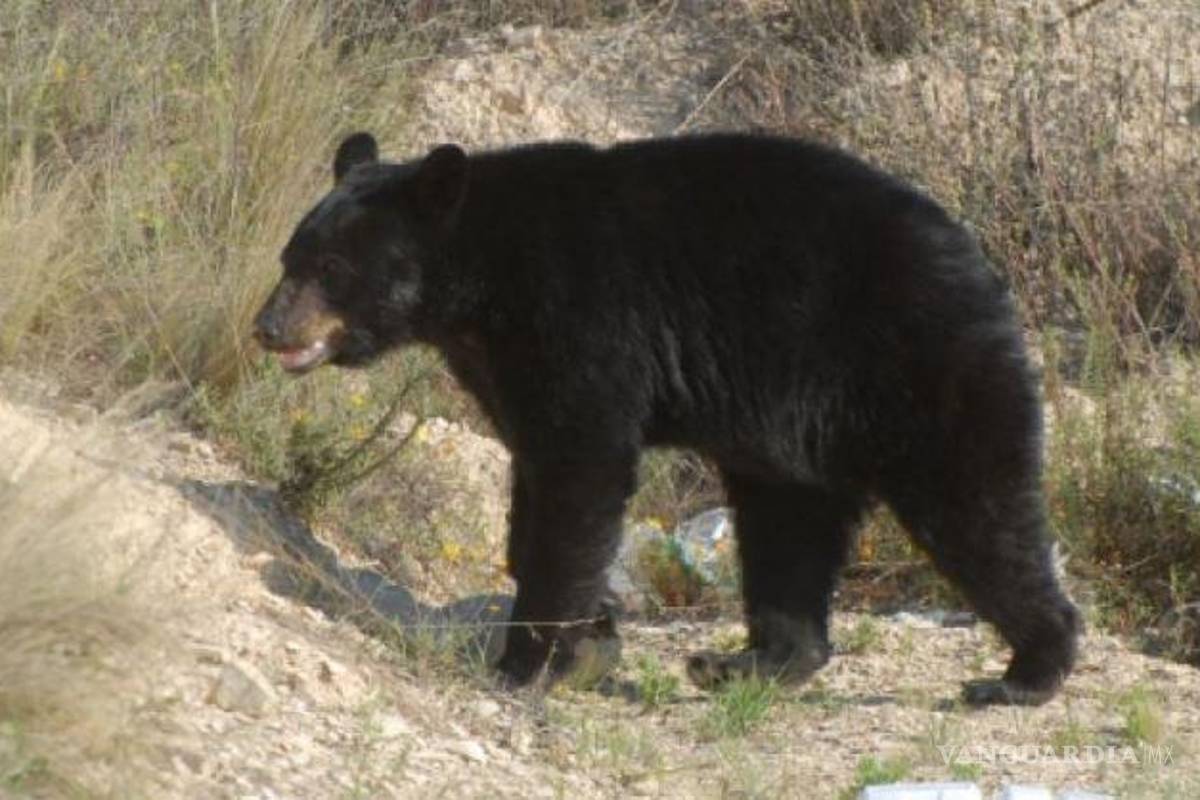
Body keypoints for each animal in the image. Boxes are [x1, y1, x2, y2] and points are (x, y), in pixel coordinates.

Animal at [253, 131, 1081, 706]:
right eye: (289, 256)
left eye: (330, 268)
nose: (268, 327)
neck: (480, 283)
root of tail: (982, 263)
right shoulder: (504, 367)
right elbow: (533, 479)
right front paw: (592, 632)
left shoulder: (581, 317)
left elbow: (580, 474)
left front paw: (527, 662)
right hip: (795, 434)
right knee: (789, 530)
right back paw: (747, 661)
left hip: (918, 368)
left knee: (980, 512)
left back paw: (1024, 672)